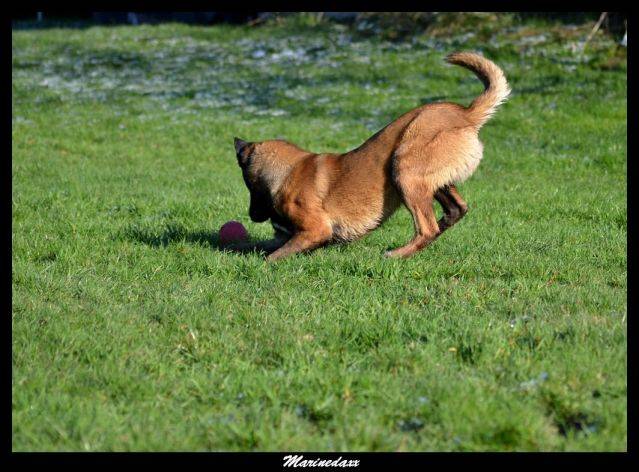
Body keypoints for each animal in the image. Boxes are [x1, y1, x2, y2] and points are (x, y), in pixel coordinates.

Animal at [229, 53, 510, 264]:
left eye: (249, 185)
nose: (251, 216)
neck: (289, 170)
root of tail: (466, 115)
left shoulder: (315, 228)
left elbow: (274, 255)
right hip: (430, 178)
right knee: (456, 209)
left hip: (404, 168)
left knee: (427, 228)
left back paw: (396, 254)